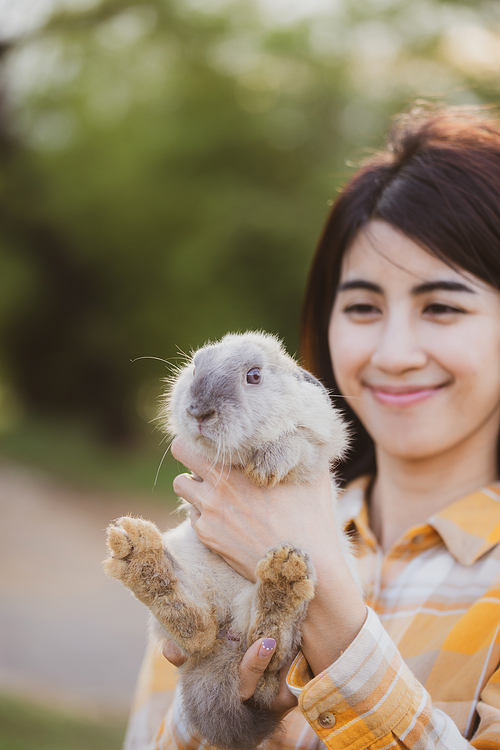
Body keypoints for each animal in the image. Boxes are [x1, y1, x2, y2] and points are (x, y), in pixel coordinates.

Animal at [103, 334, 358, 750]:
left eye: (254, 375)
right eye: (195, 366)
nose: (199, 411)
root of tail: (228, 644)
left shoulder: (321, 441)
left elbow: (297, 442)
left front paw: (267, 466)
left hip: (294, 628)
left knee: (271, 656)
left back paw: (283, 578)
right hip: (191, 574)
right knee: (198, 633)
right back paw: (141, 557)